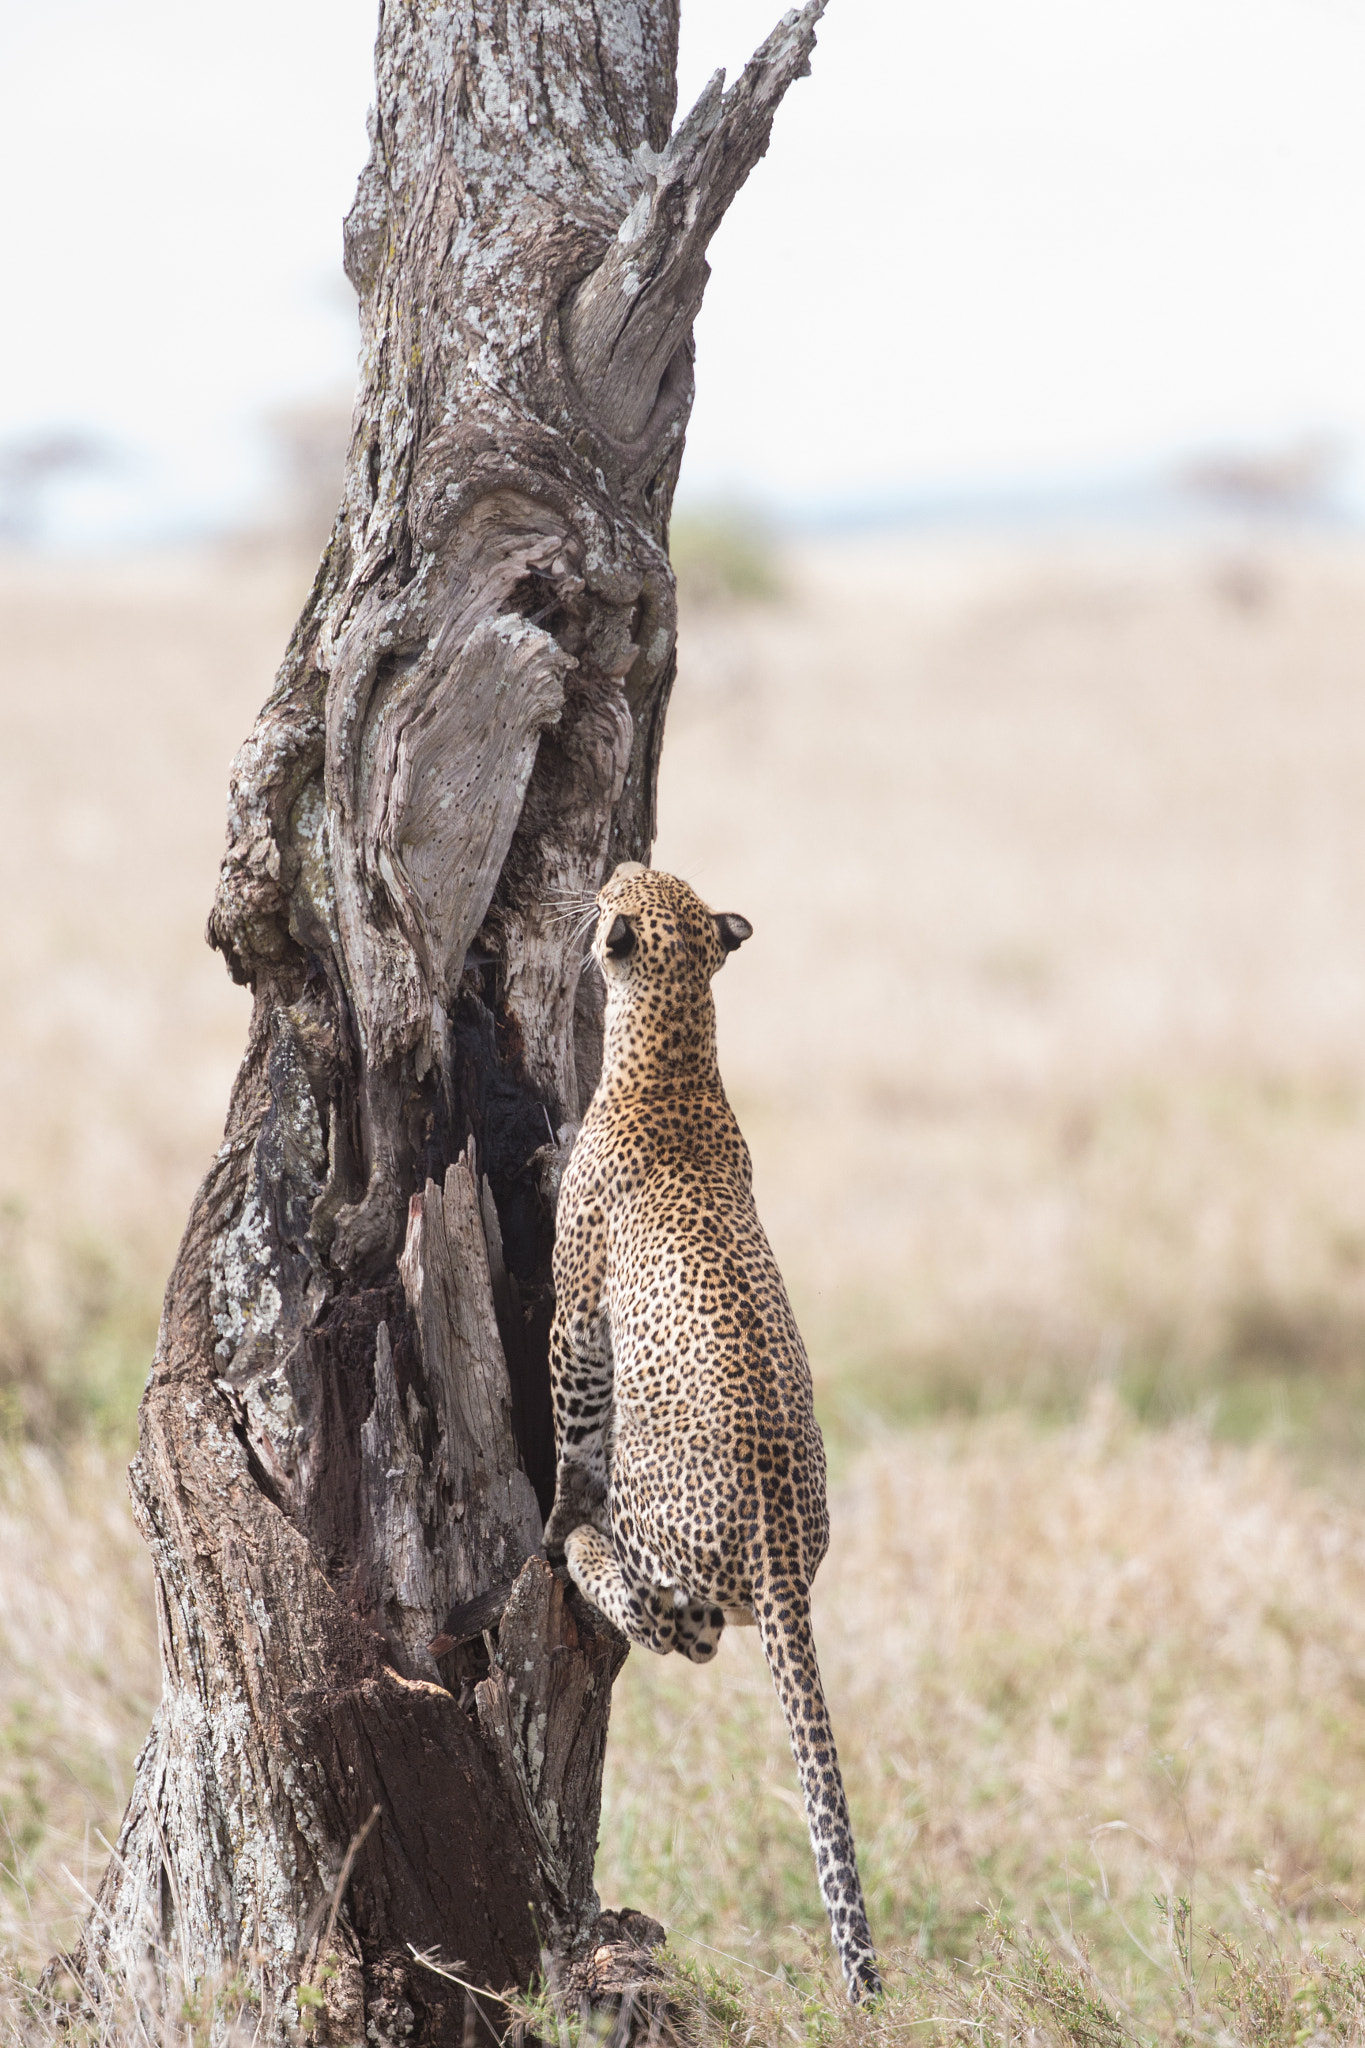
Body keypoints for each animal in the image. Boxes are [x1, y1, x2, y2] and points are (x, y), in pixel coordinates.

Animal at [540, 860, 879, 1998]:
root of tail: (781, 1555)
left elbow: (569, 1424)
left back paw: (578, 1547)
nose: (595, 880)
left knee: (666, 1619)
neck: (678, 1044)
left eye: (617, 883)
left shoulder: (573, 1320)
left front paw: (552, 1504)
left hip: (658, 1518)